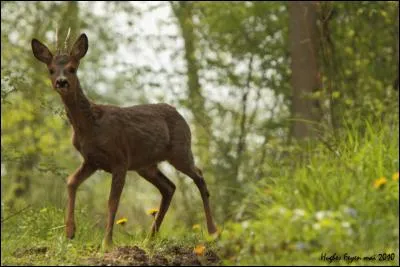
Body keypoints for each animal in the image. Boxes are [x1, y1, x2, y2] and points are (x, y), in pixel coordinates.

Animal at [30, 33, 219, 249]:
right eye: (51, 70)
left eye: (72, 68)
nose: (61, 82)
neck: (91, 125)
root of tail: (181, 115)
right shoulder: (92, 160)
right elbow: (71, 182)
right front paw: (70, 232)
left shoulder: (120, 158)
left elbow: (113, 201)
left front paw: (107, 242)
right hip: (145, 165)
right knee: (169, 187)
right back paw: (149, 238)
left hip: (180, 150)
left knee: (199, 176)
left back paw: (213, 232)